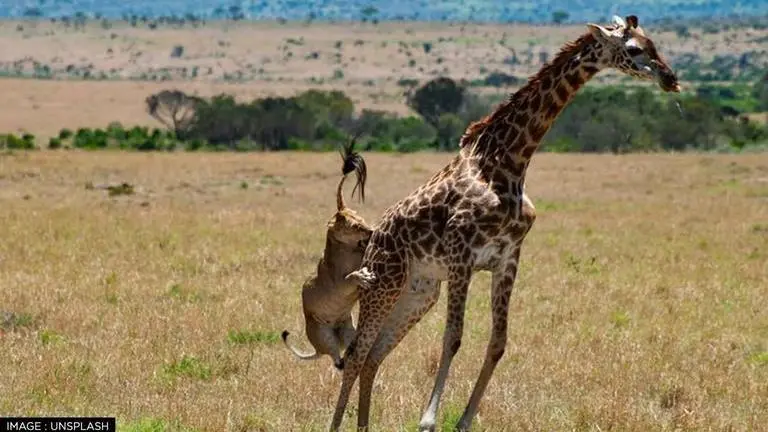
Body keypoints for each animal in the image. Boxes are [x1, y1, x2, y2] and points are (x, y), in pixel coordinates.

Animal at [281, 137, 371, 369]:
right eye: (354, 226)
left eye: (362, 218)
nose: (371, 230)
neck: (349, 250)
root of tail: (317, 349)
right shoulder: (339, 285)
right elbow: (350, 277)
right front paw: (363, 276)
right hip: (323, 334)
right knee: (337, 361)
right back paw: (342, 360)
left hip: (348, 329)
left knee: (349, 350)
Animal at [328, 15, 680, 432]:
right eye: (634, 49)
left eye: (653, 43)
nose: (670, 78)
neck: (508, 162)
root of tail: (374, 238)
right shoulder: (461, 254)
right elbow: (453, 337)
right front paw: (428, 420)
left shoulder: (508, 256)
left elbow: (498, 342)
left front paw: (464, 421)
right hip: (383, 282)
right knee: (356, 354)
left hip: (419, 291)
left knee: (374, 357)